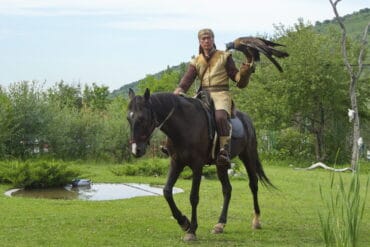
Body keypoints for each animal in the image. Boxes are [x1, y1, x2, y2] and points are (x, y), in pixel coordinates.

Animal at [127, 88, 274, 241]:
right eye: (128, 118)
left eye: (142, 118)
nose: (136, 150)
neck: (185, 125)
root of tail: (247, 119)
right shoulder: (176, 163)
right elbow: (167, 191)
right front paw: (184, 222)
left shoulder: (197, 166)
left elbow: (193, 197)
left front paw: (192, 230)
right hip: (221, 165)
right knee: (227, 189)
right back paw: (220, 224)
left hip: (248, 156)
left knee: (253, 184)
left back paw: (256, 220)